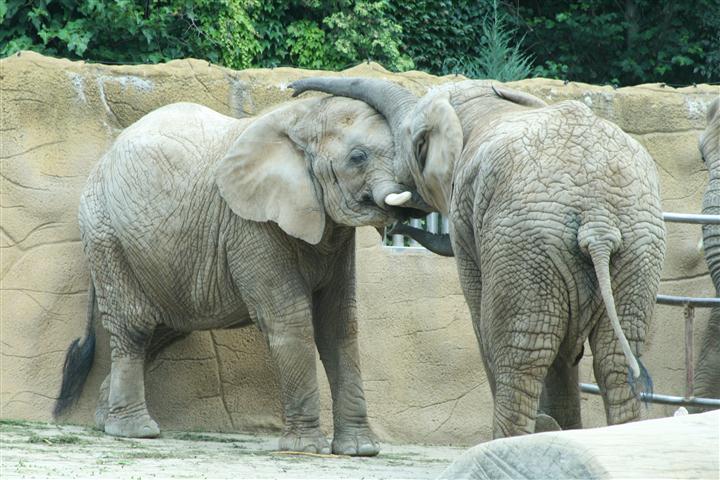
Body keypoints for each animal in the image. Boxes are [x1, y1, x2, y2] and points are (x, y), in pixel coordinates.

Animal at [52, 97, 429, 455]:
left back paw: (105, 419)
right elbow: (290, 320)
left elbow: (339, 323)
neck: (303, 117)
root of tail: (103, 159)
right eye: (358, 157)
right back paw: (135, 431)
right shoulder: (250, 225)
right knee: (136, 326)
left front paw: (359, 450)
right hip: (105, 234)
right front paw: (306, 449)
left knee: (166, 327)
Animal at [290, 78, 666, 439]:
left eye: (409, 141)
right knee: (616, 360)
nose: (294, 88)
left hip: (525, 243)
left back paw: (508, 438)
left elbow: (481, 316)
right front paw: (559, 428)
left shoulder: (465, 213)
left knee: (520, 352)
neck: (481, 102)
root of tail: (597, 219)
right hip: (638, 247)